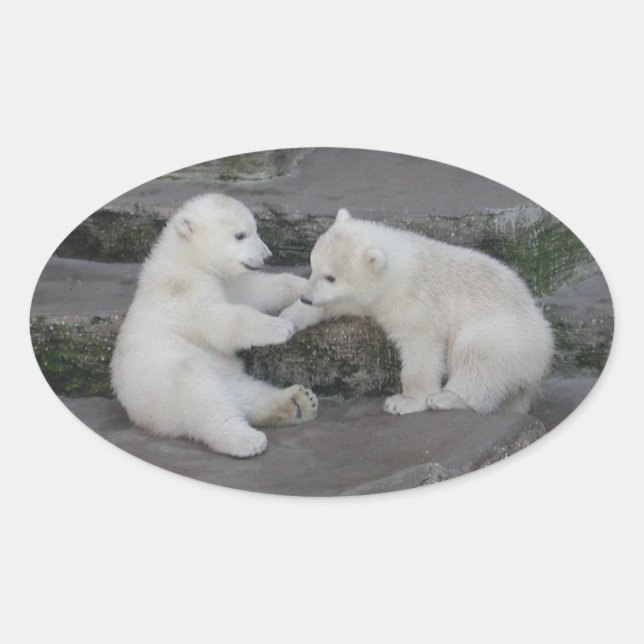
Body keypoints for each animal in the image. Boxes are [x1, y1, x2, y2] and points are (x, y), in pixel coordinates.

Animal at [111, 193, 318, 458]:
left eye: (255, 229)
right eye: (240, 235)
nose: (267, 256)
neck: (187, 258)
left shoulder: (228, 281)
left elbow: (257, 290)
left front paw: (307, 286)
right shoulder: (183, 292)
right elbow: (218, 320)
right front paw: (281, 326)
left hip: (227, 375)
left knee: (246, 393)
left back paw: (298, 403)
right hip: (164, 380)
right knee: (200, 395)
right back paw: (245, 439)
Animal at [280, 208, 554, 416]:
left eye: (331, 277)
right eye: (313, 266)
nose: (306, 297)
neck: (399, 267)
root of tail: (546, 343)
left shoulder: (414, 300)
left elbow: (421, 347)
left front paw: (404, 402)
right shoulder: (373, 297)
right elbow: (344, 302)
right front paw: (289, 317)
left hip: (507, 333)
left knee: (478, 353)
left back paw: (447, 399)